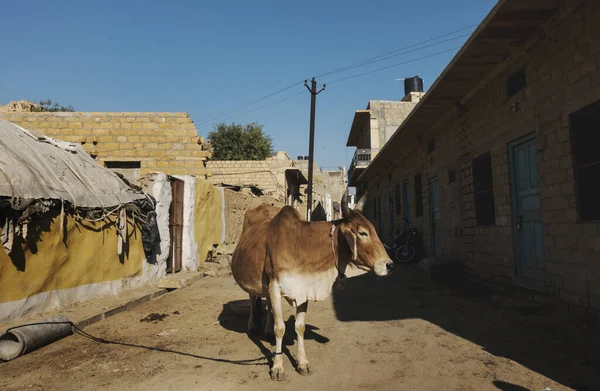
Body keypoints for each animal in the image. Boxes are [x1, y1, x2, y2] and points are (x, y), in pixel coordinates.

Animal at [231, 191, 394, 382]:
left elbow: (299, 327)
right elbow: (280, 328)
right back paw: (252, 326)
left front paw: (302, 363)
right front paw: (277, 367)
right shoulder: (274, 285)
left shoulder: (304, 289)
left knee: (268, 305)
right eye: (363, 233)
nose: (389, 265)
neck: (301, 244)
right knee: (253, 298)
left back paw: (267, 331)